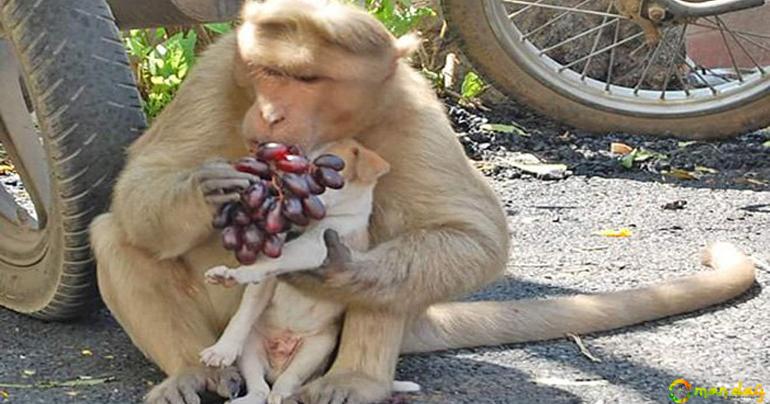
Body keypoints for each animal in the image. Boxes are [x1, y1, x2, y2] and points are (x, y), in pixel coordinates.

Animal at [196, 140, 414, 404]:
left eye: (319, 174)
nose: (284, 188)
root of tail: (277, 363)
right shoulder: (266, 283)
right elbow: (244, 313)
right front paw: (221, 350)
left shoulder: (317, 248)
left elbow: (281, 257)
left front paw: (237, 275)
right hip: (252, 347)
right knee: (261, 389)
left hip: (315, 349)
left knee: (285, 384)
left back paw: (284, 395)